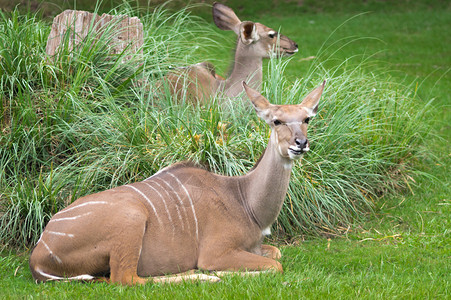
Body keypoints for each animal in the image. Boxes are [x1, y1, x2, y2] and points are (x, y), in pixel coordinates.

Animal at [29, 80, 324, 286]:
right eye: (276, 121)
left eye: (306, 118)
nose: (300, 143)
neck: (245, 202)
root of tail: (38, 255)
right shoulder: (216, 251)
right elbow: (275, 266)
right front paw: (217, 272)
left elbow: (277, 254)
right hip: (130, 221)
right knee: (126, 278)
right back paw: (203, 276)